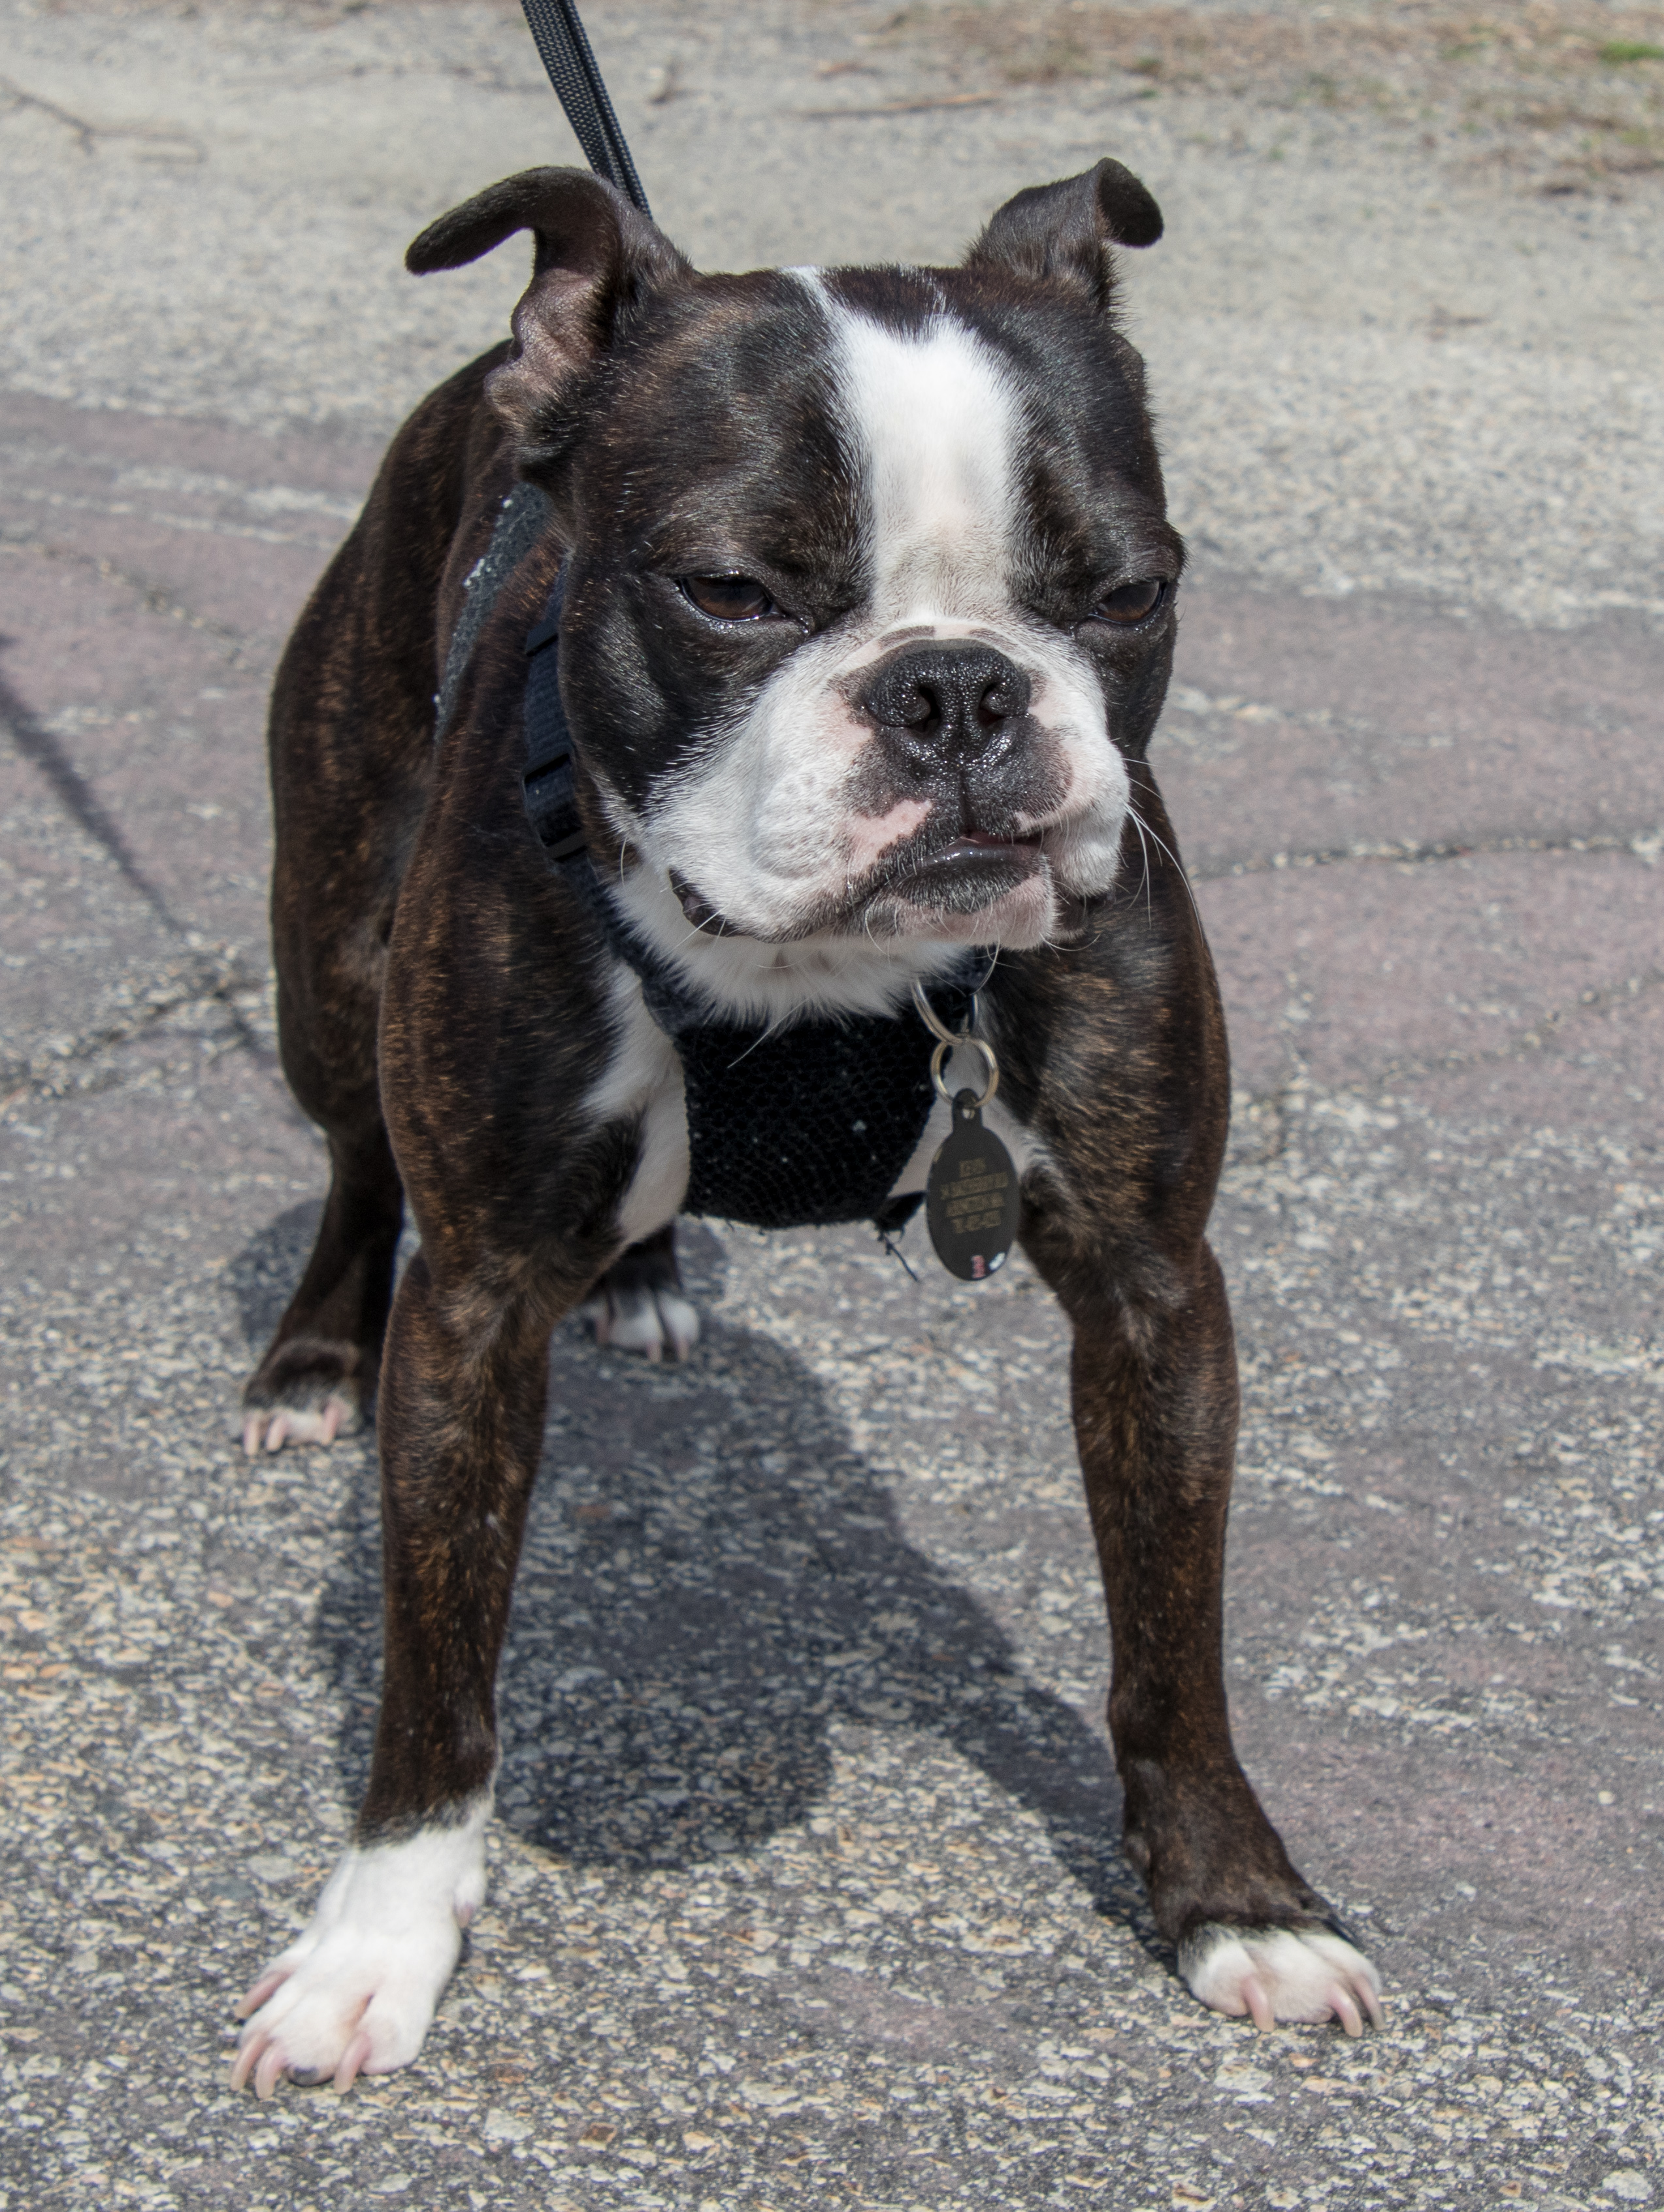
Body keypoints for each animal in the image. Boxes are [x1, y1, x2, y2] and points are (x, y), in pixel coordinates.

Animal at [230, 159, 1382, 2096]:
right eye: (730, 589)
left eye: (1127, 588)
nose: (956, 688)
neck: (824, 974)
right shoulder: (470, 1305)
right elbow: (436, 1666)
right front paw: (374, 1941)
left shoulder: (1153, 1291)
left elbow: (1170, 1640)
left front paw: (1240, 1902)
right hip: (330, 949)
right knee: (350, 1160)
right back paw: (314, 1354)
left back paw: (643, 1278)